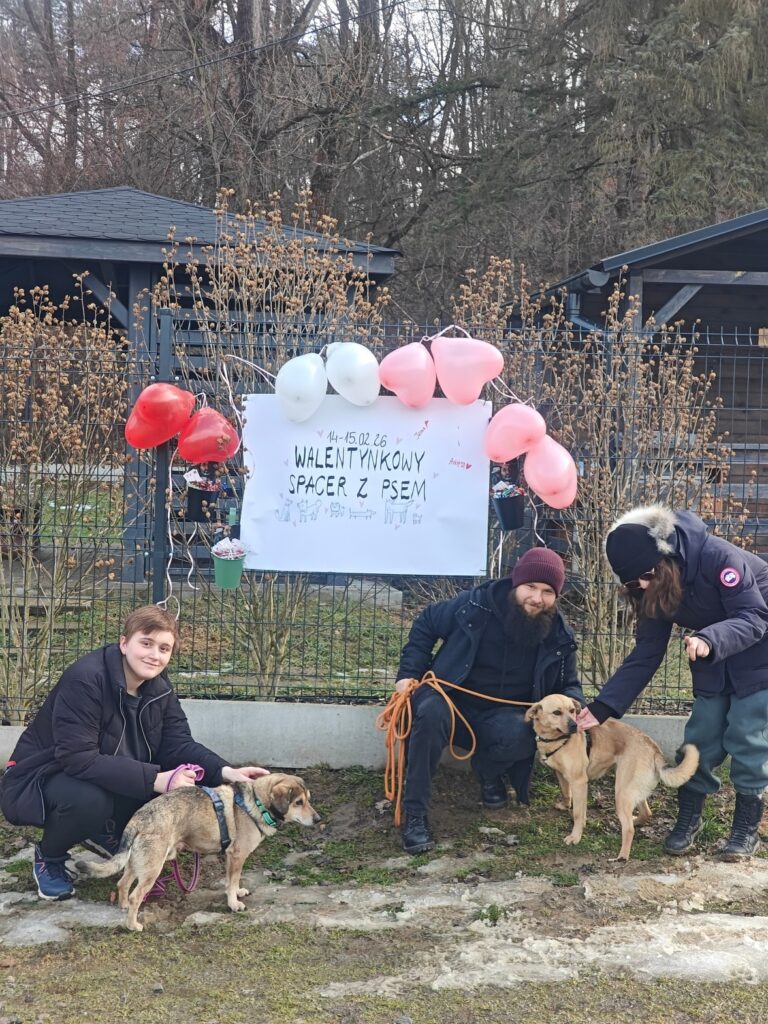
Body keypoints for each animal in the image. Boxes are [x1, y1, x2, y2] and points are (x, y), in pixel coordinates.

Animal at [75, 773, 320, 931]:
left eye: (308, 799)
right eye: (298, 802)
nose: (318, 820)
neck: (256, 802)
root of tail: (139, 818)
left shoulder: (232, 858)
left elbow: (233, 881)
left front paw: (237, 892)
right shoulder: (236, 856)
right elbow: (232, 881)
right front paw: (234, 903)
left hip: (138, 862)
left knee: (122, 883)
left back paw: (124, 906)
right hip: (153, 867)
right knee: (136, 895)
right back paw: (132, 925)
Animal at [525, 694, 699, 861]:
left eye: (572, 711)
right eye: (557, 712)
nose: (575, 726)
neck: (558, 740)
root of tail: (653, 748)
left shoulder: (579, 782)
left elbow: (578, 814)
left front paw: (575, 836)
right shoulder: (561, 774)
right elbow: (566, 792)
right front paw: (565, 805)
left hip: (621, 792)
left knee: (629, 829)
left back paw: (622, 855)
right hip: (632, 789)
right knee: (646, 813)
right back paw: (635, 821)